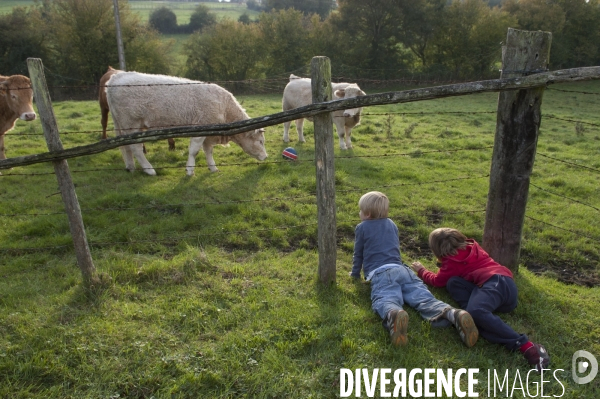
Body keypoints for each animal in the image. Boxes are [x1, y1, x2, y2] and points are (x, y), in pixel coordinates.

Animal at [105, 72, 268, 176]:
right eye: (260, 141)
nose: (266, 157)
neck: (225, 109)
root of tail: (116, 77)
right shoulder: (200, 127)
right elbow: (194, 151)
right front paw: (190, 170)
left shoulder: (208, 133)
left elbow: (208, 151)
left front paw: (213, 168)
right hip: (131, 123)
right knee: (136, 148)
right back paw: (149, 170)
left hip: (122, 125)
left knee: (125, 147)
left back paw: (131, 167)